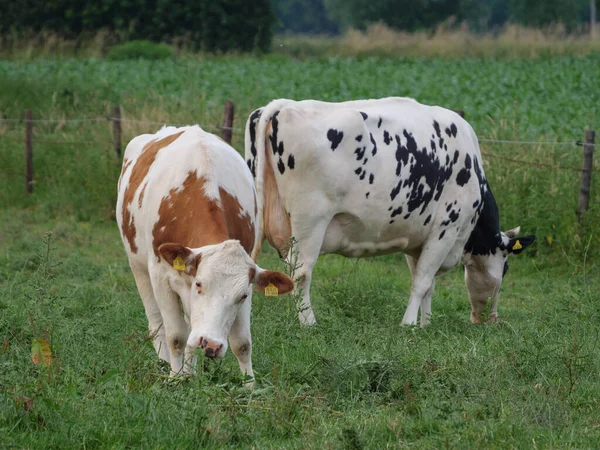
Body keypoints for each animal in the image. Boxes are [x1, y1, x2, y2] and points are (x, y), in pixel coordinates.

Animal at [116, 125, 292, 382]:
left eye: (242, 296)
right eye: (200, 284)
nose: (211, 344)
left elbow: (242, 344)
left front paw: (249, 385)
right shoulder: (160, 274)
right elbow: (176, 336)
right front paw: (176, 378)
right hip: (137, 266)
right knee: (157, 322)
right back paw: (165, 364)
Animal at [246, 97, 536, 326]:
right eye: (505, 268)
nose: (488, 319)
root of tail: (284, 105)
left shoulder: (417, 237)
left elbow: (427, 283)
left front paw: (425, 324)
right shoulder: (446, 230)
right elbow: (421, 282)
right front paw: (408, 325)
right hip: (311, 222)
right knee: (301, 272)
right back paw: (309, 323)